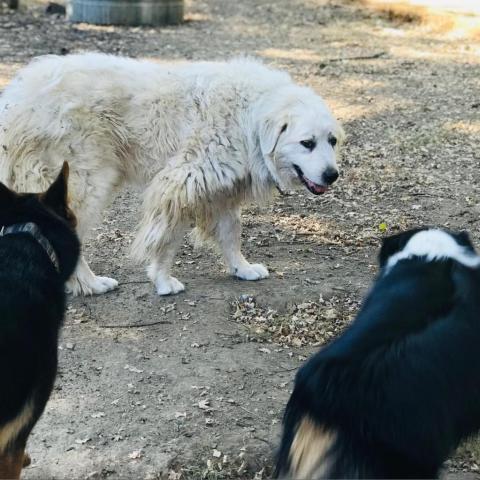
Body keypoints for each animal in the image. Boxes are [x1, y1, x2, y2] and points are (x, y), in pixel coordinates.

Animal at [0, 53, 342, 296]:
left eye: (332, 141)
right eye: (307, 143)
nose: (332, 175)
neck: (250, 117)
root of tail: (15, 99)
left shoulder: (221, 192)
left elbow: (231, 234)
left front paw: (241, 269)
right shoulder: (181, 184)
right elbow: (167, 239)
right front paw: (163, 282)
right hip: (87, 185)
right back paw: (90, 285)